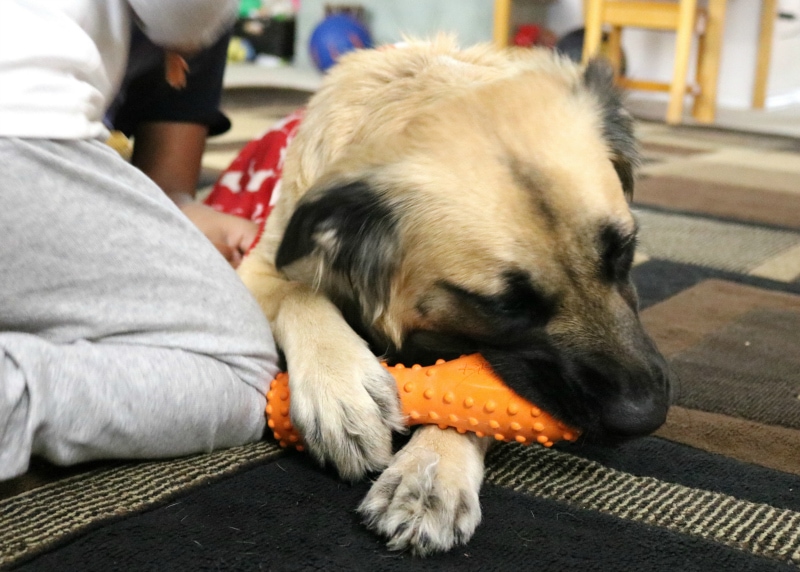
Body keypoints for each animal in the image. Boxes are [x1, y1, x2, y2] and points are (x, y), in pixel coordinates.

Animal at [239, 35, 676, 556]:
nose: (646, 417)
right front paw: (342, 391)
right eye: (506, 306)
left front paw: (431, 472)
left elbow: (469, 401)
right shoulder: (259, 266)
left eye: (625, 250)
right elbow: (301, 294)